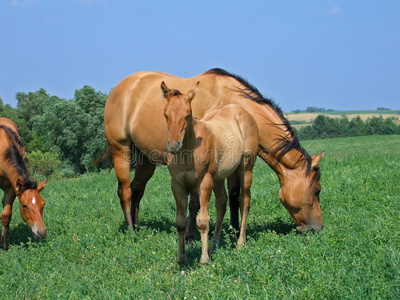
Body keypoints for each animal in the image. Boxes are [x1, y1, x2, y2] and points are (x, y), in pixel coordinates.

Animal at [0, 118, 48, 251]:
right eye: (24, 206)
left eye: (43, 204)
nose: (41, 232)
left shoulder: (12, 188)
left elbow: (6, 215)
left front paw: (3, 247)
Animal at [104, 68, 324, 234]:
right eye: (317, 190)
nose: (317, 228)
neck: (231, 102)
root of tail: (120, 88)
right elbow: (195, 203)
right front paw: (191, 236)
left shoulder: (232, 162)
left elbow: (234, 196)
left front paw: (234, 229)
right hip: (120, 150)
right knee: (125, 190)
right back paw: (130, 230)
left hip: (147, 158)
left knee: (137, 189)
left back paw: (137, 225)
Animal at [161, 81, 258, 264]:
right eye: (166, 115)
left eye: (187, 115)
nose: (174, 145)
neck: (188, 154)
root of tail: (242, 112)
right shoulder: (177, 185)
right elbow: (180, 222)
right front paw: (181, 258)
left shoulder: (204, 182)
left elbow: (203, 221)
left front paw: (204, 259)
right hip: (218, 178)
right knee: (221, 203)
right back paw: (214, 244)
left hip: (246, 169)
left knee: (244, 200)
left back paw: (240, 242)